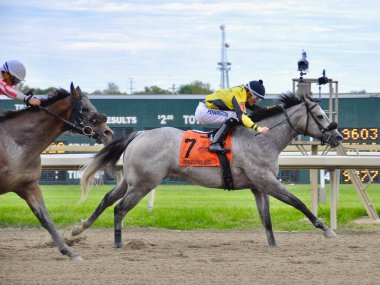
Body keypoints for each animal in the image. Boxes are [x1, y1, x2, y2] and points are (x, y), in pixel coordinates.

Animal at [72, 93, 342, 246]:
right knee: (119, 208)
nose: (338, 136)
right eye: (320, 115)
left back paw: (78, 229)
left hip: (131, 180)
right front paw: (327, 230)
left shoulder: (258, 186)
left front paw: (273, 246)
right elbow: (298, 202)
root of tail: (138, 134)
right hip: (144, 184)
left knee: (108, 199)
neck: (261, 138)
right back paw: (118, 243)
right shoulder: (266, 180)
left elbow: (266, 219)